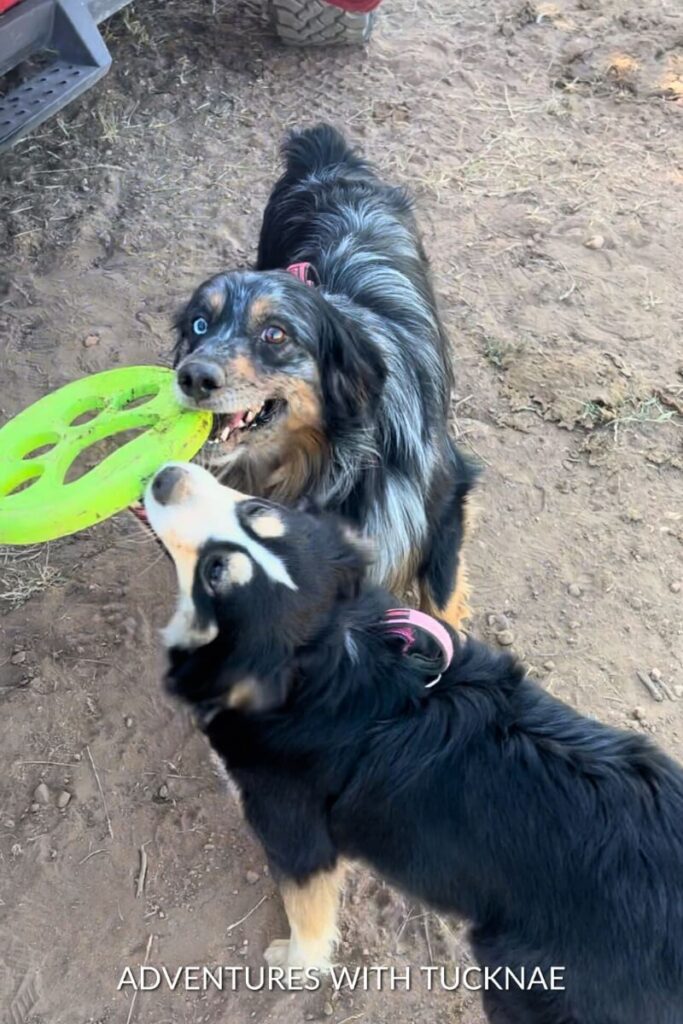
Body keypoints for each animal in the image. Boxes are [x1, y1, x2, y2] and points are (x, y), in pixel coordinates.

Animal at [143, 464, 683, 1024]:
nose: (165, 475)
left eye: (215, 573)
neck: (328, 660)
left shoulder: (297, 837)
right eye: (255, 509)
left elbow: (306, 918)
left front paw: (293, 966)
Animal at [172, 123, 475, 626]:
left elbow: (441, 606)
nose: (191, 377)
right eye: (199, 324)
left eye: (275, 334)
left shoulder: (447, 500)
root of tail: (328, 160)